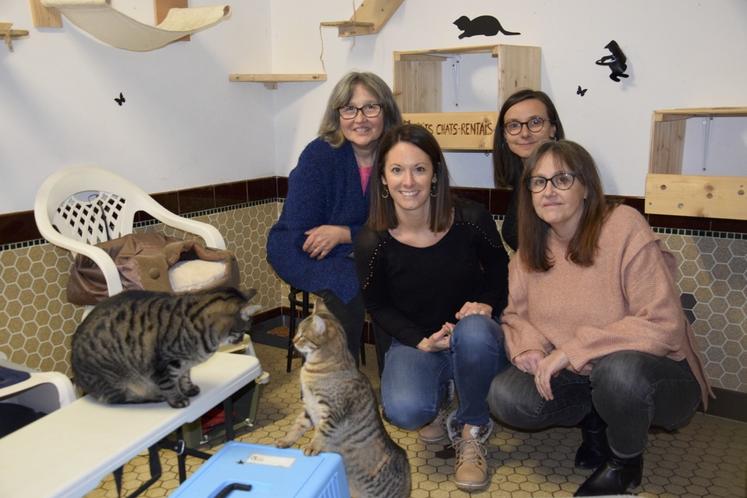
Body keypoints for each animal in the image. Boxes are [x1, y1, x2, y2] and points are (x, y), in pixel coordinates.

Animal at [73, 288, 260, 408]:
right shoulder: (164, 363)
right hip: (115, 379)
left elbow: (185, 376)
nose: (241, 338)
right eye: (243, 330)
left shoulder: (184, 364)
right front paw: (177, 399)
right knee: (121, 399)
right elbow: (169, 384)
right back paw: (153, 397)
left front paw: (188, 388)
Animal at [278, 300, 412, 498]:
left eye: (302, 335)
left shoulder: (331, 411)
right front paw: (286, 439)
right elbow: (296, 426)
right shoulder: (309, 409)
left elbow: (322, 432)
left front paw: (312, 445)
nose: (293, 340)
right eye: (297, 333)